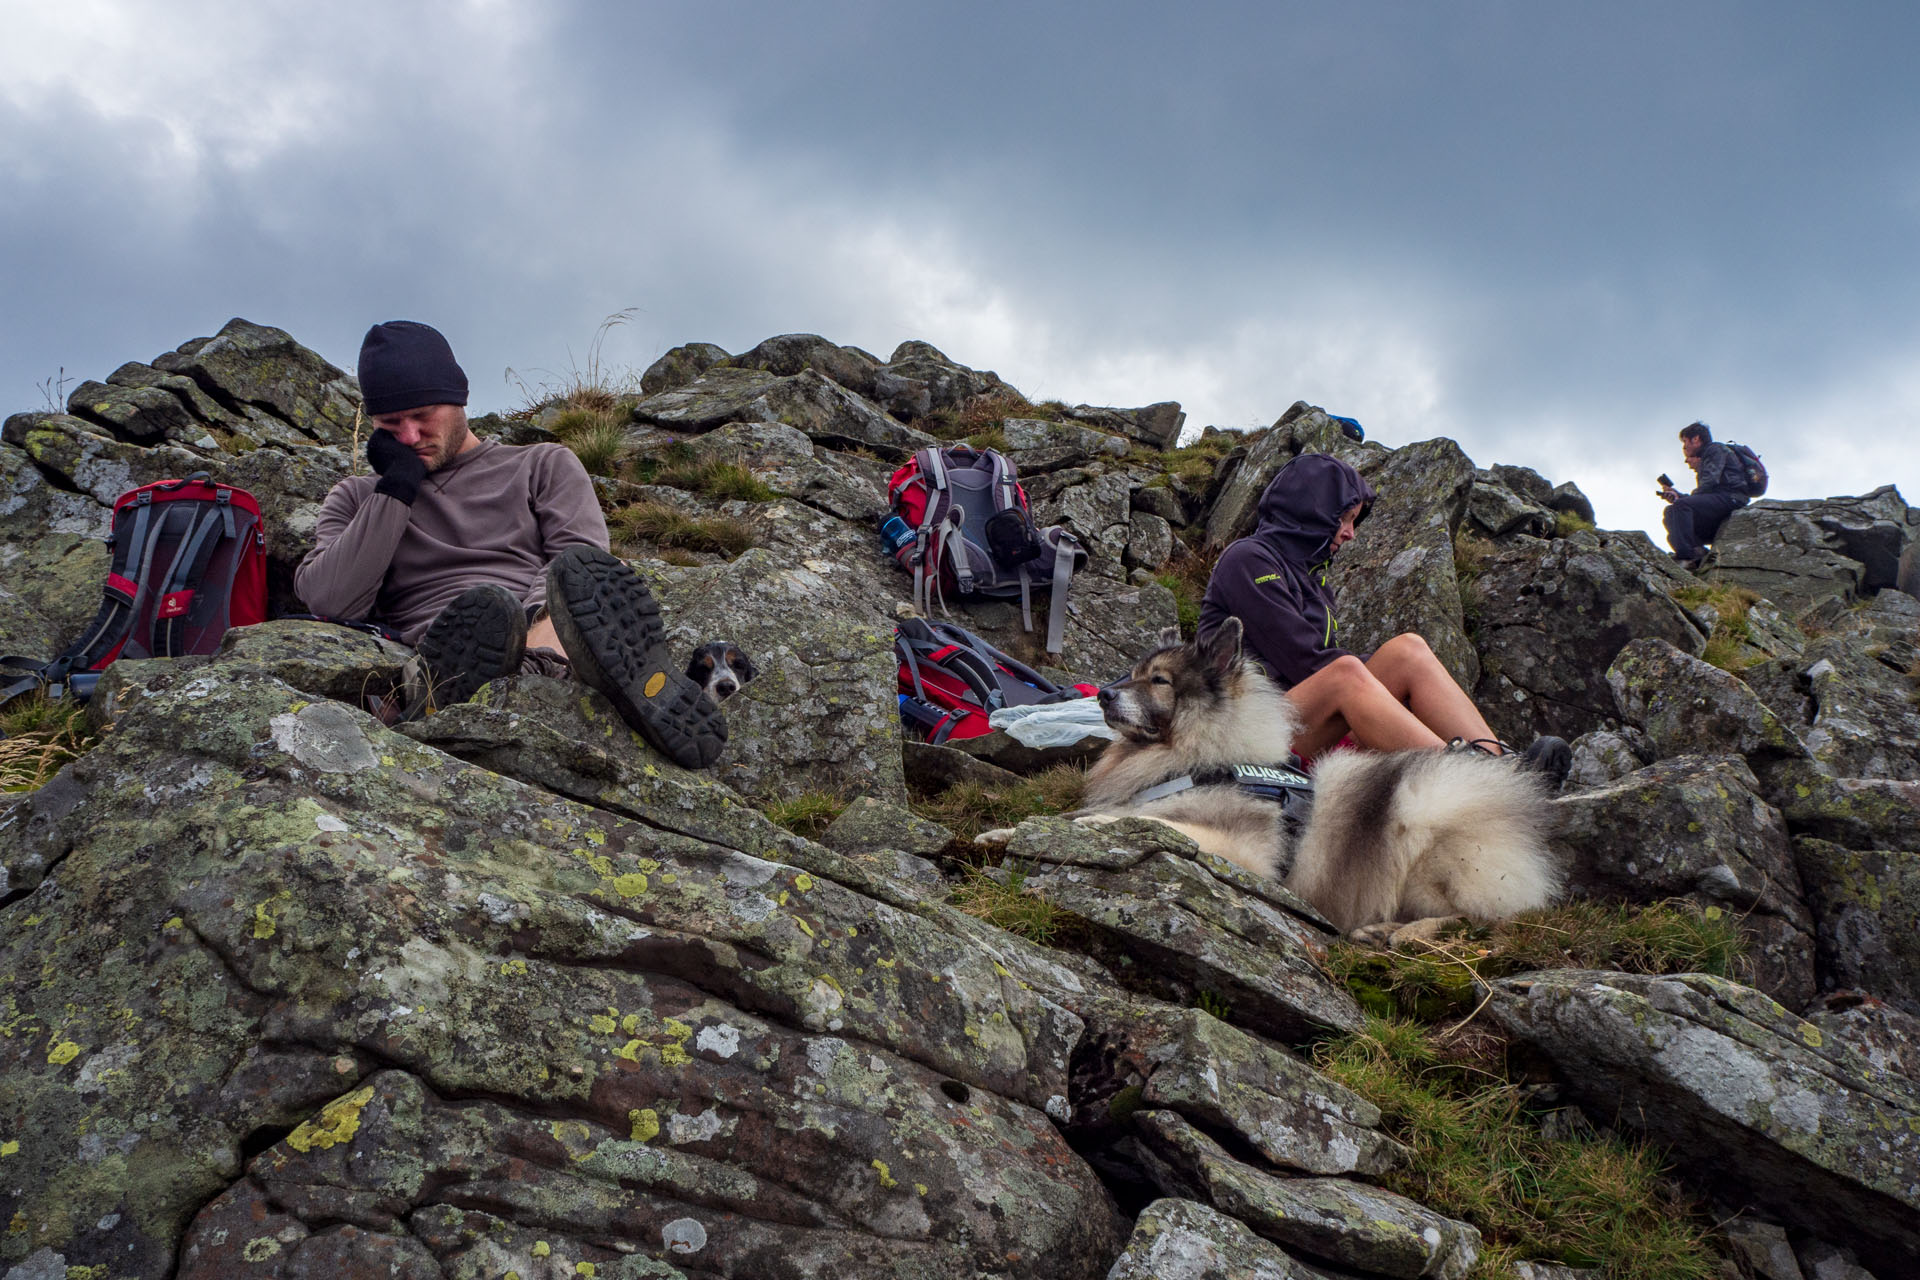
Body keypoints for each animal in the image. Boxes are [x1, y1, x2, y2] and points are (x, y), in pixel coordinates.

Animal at [1067, 617, 1559, 932]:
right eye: (1133, 674)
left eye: (1160, 681)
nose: (1104, 695)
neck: (1207, 758)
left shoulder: (1245, 849)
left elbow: (1158, 822)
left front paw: (1096, 821)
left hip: (1427, 833)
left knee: (1477, 921)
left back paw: (1393, 934)